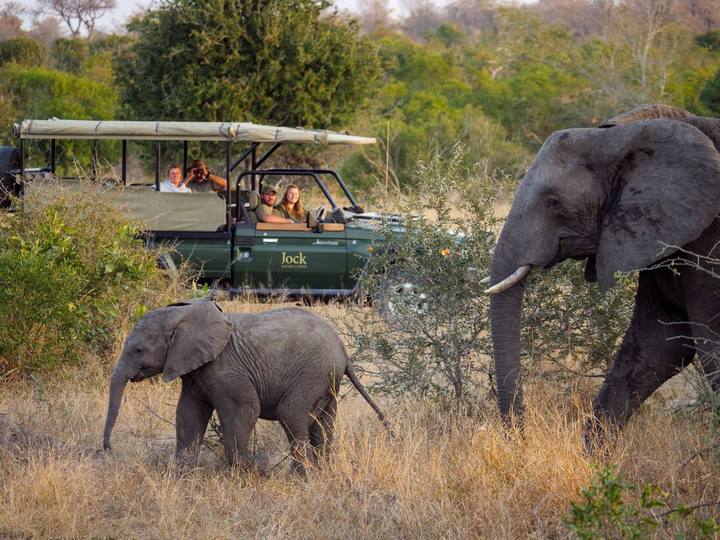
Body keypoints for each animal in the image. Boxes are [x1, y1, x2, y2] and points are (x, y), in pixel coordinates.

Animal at [102, 302, 388, 471]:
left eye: (139, 350)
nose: (107, 449)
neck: (184, 314)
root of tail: (341, 347)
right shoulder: (195, 371)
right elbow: (188, 413)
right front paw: (183, 473)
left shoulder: (226, 370)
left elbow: (243, 412)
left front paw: (241, 475)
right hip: (326, 379)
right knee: (324, 422)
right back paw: (324, 472)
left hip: (312, 373)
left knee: (292, 415)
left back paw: (305, 477)